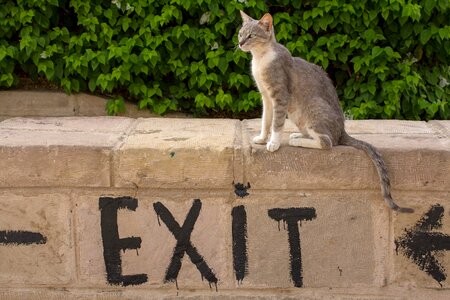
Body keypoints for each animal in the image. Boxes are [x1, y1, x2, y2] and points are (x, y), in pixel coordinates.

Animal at [239, 11, 414, 213]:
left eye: (251, 35)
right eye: (240, 34)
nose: (240, 43)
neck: (261, 58)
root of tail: (342, 131)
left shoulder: (280, 97)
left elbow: (276, 123)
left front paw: (273, 143)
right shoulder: (266, 98)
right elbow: (265, 120)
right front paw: (261, 138)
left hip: (313, 109)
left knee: (327, 142)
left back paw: (298, 141)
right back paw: (298, 136)